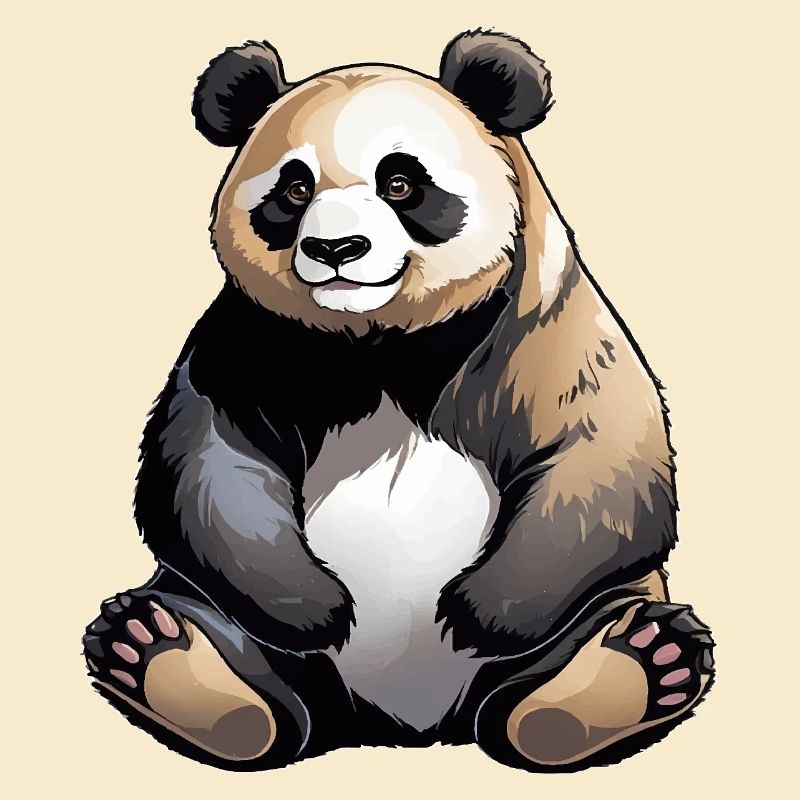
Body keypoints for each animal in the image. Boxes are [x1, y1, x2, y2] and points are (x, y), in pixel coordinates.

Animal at [83, 30, 714, 771]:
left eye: (401, 182)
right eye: (294, 188)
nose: (335, 248)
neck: (380, 345)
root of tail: (399, 725)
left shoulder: (544, 330)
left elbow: (601, 455)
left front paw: (478, 613)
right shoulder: (248, 345)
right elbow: (209, 459)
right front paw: (316, 607)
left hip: (605, 602)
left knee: (565, 655)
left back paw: (627, 668)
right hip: (219, 610)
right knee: (241, 658)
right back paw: (162, 656)